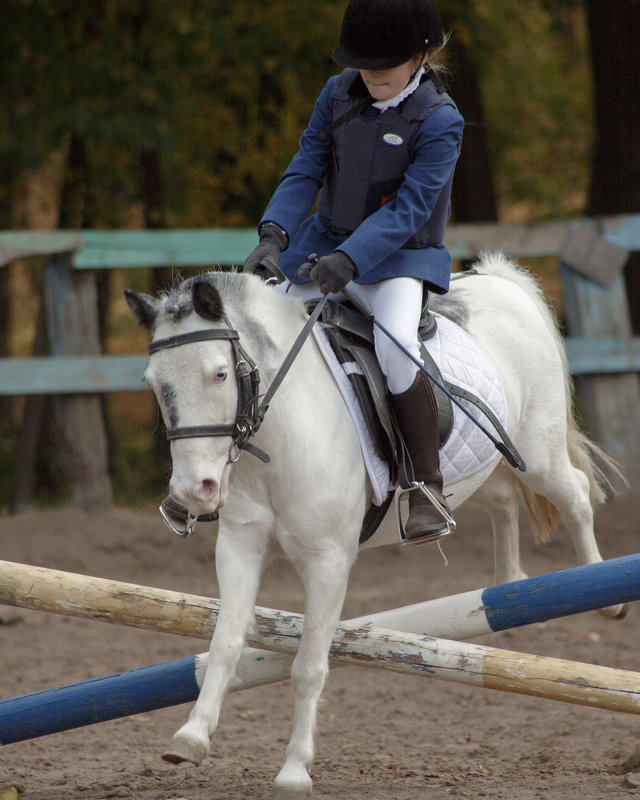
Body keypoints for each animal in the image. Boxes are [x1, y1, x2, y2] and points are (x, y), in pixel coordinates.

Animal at [125, 255, 624, 792]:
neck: (280, 438)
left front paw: (295, 771)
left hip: (537, 452)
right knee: (503, 502)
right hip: (485, 465)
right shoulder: (240, 546)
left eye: (220, 374)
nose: (192, 492)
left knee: (575, 492)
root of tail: (500, 279)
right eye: (152, 383)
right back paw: (508, 586)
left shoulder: (328, 560)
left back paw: (601, 592)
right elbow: (224, 643)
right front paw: (190, 739)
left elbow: (309, 665)